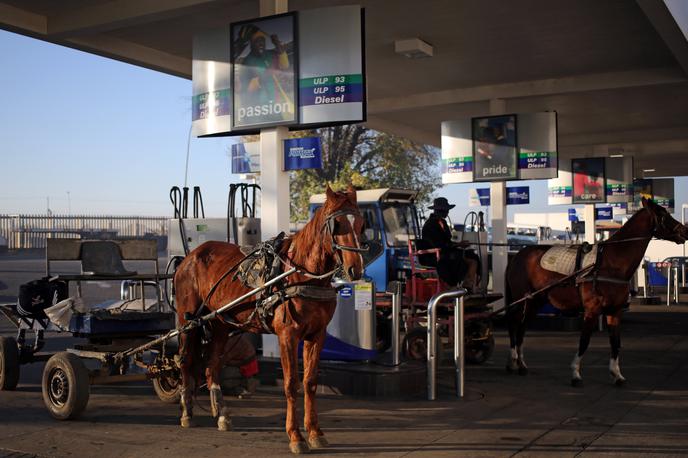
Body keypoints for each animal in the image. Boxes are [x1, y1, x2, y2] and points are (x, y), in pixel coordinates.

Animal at [172, 187, 366, 454]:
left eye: (360, 223)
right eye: (337, 224)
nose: (356, 269)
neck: (302, 274)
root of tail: (189, 257)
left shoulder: (317, 335)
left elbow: (310, 382)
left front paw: (315, 432)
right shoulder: (288, 335)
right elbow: (291, 384)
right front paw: (295, 436)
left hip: (219, 323)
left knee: (212, 365)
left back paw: (221, 414)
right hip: (187, 321)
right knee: (186, 361)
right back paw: (187, 412)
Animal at [502, 199, 684, 386]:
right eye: (663, 214)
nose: (684, 230)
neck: (611, 263)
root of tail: (517, 256)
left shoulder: (615, 311)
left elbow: (615, 342)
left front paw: (616, 374)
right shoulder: (592, 310)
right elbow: (584, 341)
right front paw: (576, 373)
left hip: (534, 301)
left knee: (522, 326)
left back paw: (521, 364)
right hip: (522, 299)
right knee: (513, 322)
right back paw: (512, 360)